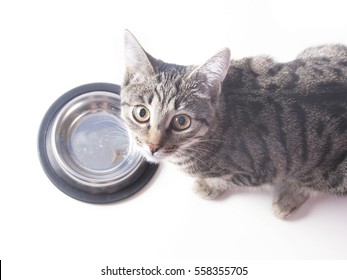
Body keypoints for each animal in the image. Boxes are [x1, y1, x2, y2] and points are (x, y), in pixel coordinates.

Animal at [120, 30, 347, 219]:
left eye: (181, 121)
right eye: (142, 113)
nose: (152, 146)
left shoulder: (261, 171)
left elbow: (226, 179)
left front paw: (208, 186)